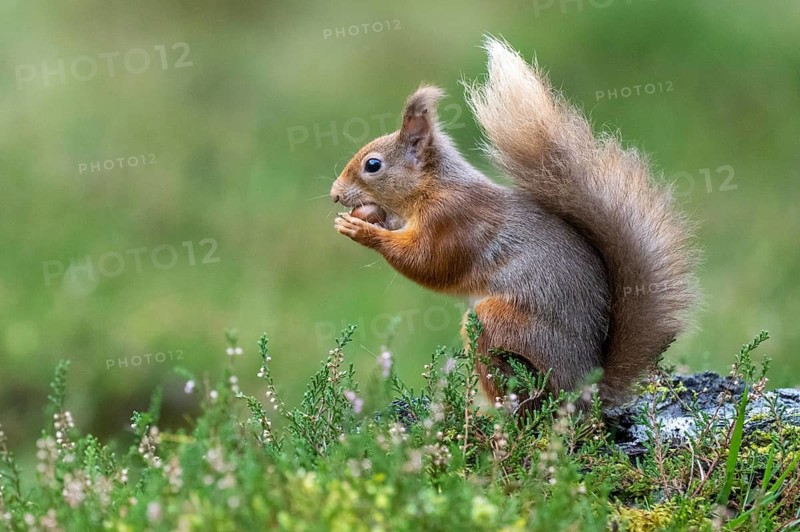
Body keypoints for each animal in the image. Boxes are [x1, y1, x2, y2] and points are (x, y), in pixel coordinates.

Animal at [330, 37, 699, 408]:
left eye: (373, 165)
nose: (334, 194)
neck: (434, 187)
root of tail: (584, 390)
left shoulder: (454, 219)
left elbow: (429, 262)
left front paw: (362, 231)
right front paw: (373, 219)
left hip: (501, 326)